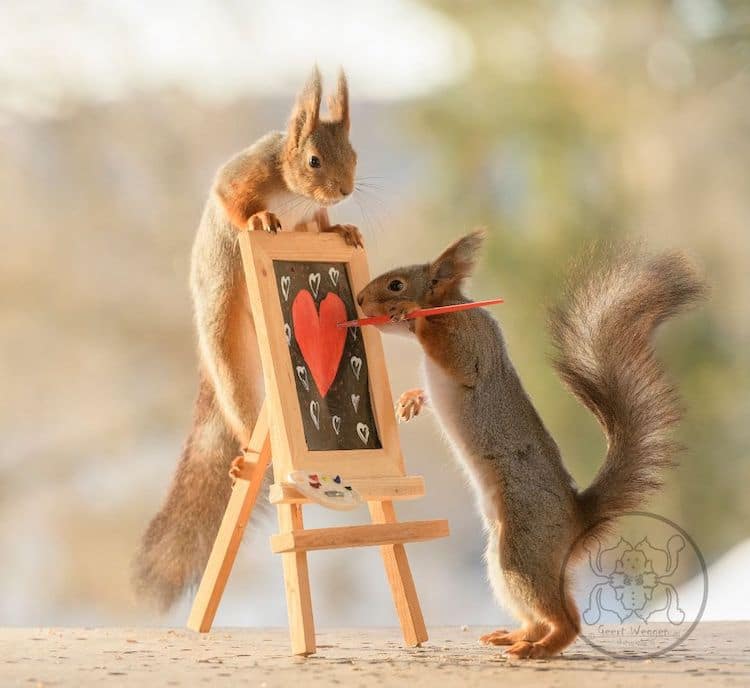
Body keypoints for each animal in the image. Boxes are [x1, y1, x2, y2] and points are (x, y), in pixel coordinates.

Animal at [135, 67, 364, 612]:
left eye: (355, 154)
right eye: (314, 160)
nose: (345, 191)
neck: (294, 193)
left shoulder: (309, 221)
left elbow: (320, 227)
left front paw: (343, 227)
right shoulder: (246, 173)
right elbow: (230, 197)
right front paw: (259, 219)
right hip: (224, 337)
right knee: (238, 403)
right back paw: (245, 452)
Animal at [356, 232, 704, 660]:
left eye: (396, 284)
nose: (359, 300)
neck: (450, 311)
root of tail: (576, 521)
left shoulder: (470, 343)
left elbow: (456, 358)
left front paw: (410, 312)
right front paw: (409, 401)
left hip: (524, 546)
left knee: (567, 619)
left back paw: (539, 648)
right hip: (501, 559)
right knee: (537, 616)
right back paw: (516, 637)